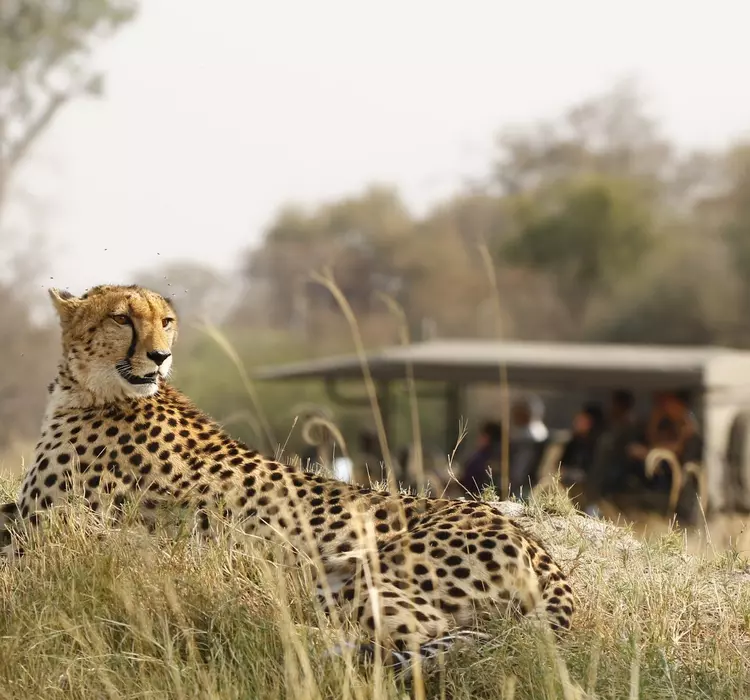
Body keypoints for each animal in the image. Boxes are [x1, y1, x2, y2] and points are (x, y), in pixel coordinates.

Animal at [0, 284, 575, 672]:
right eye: (122, 318)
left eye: (166, 320)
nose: (161, 356)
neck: (93, 388)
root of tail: (530, 538)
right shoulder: (34, 518)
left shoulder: (47, 530)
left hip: (354, 574)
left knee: (420, 634)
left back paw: (271, 630)